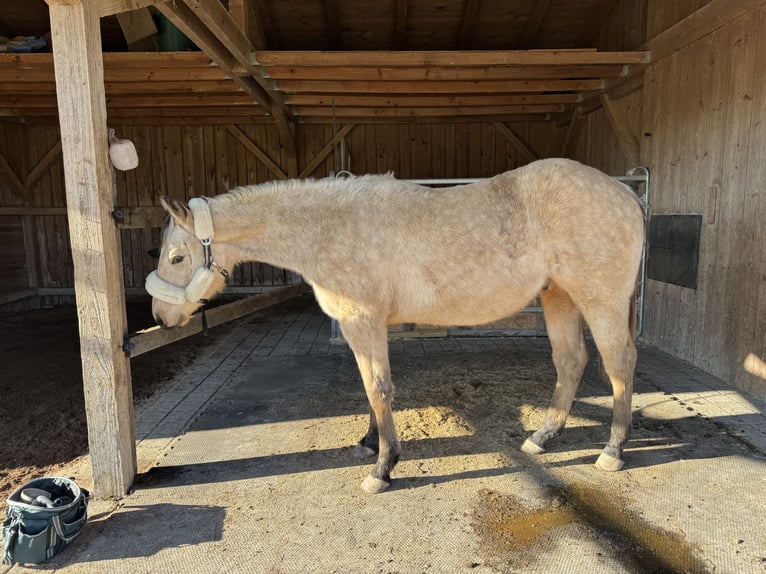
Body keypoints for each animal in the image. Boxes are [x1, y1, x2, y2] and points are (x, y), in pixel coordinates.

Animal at [146, 156, 648, 496]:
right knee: (570, 361)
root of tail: (626, 194)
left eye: (177, 257)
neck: (327, 229)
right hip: (558, 297)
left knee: (619, 365)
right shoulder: (369, 326)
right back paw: (542, 438)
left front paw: (383, 469)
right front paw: (370, 445)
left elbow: (377, 389)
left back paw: (613, 452)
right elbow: (374, 389)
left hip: (599, 301)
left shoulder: (361, 321)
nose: (160, 319)